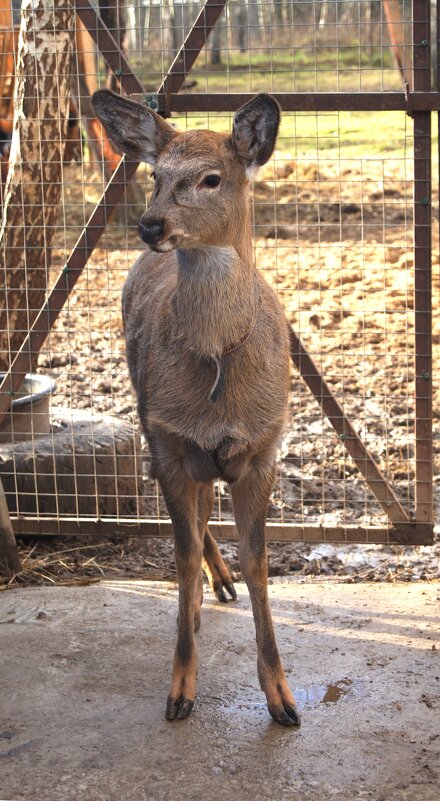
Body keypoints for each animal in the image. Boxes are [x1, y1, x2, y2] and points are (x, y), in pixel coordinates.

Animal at [91, 90, 300, 728]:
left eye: (212, 178)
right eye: (155, 176)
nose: (150, 224)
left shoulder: (263, 448)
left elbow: (260, 562)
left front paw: (282, 698)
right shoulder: (169, 442)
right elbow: (179, 559)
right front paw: (180, 688)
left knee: (210, 512)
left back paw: (223, 584)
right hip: (148, 418)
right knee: (199, 517)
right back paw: (210, 590)